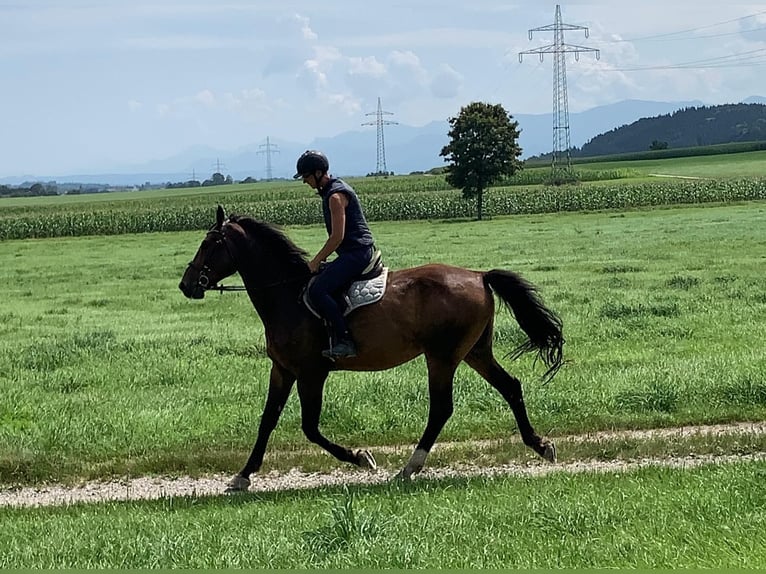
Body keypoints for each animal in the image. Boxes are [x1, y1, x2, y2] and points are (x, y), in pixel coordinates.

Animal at [180, 205, 564, 492]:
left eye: (209, 243)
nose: (186, 285)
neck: (287, 296)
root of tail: (479, 275)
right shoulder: (283, 370)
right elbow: (267, 420)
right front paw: (242, 476)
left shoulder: (310, 373)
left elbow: (310, 427)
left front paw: (361, 458)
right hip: (474, 352)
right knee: (510, 387)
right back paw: (540, 445)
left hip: (442, 356)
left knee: (442, 408)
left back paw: (410, 467)